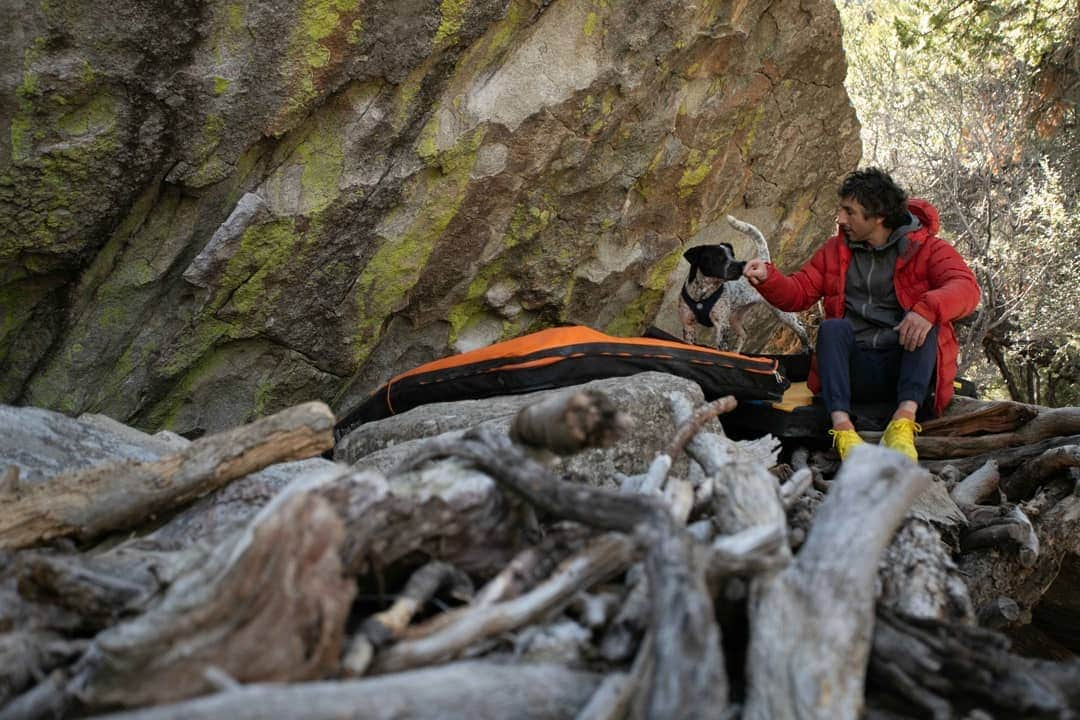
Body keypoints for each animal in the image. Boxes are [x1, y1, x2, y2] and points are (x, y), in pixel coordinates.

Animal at [678, 213, 807, 351]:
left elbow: (722, 348)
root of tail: (764, 262)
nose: (741, 266)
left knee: (801, 328)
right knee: (744, 334)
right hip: (735, 318)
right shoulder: (688, 325)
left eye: (733, 255)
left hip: (783, 313)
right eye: (718, 258)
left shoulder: (721, 325)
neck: (702, 295)